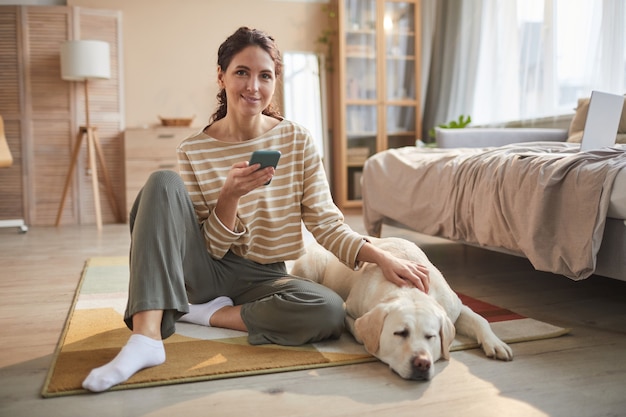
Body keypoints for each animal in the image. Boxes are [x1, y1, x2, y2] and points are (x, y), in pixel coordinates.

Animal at [290, 236, 510, 378]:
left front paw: (496, 343)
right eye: (400, 333)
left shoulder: (454, 307)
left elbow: (480, 319)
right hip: (311, 266)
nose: (421, 363)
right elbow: (361, 333)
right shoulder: (350, 310)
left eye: (431, 336)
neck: (409, 289)